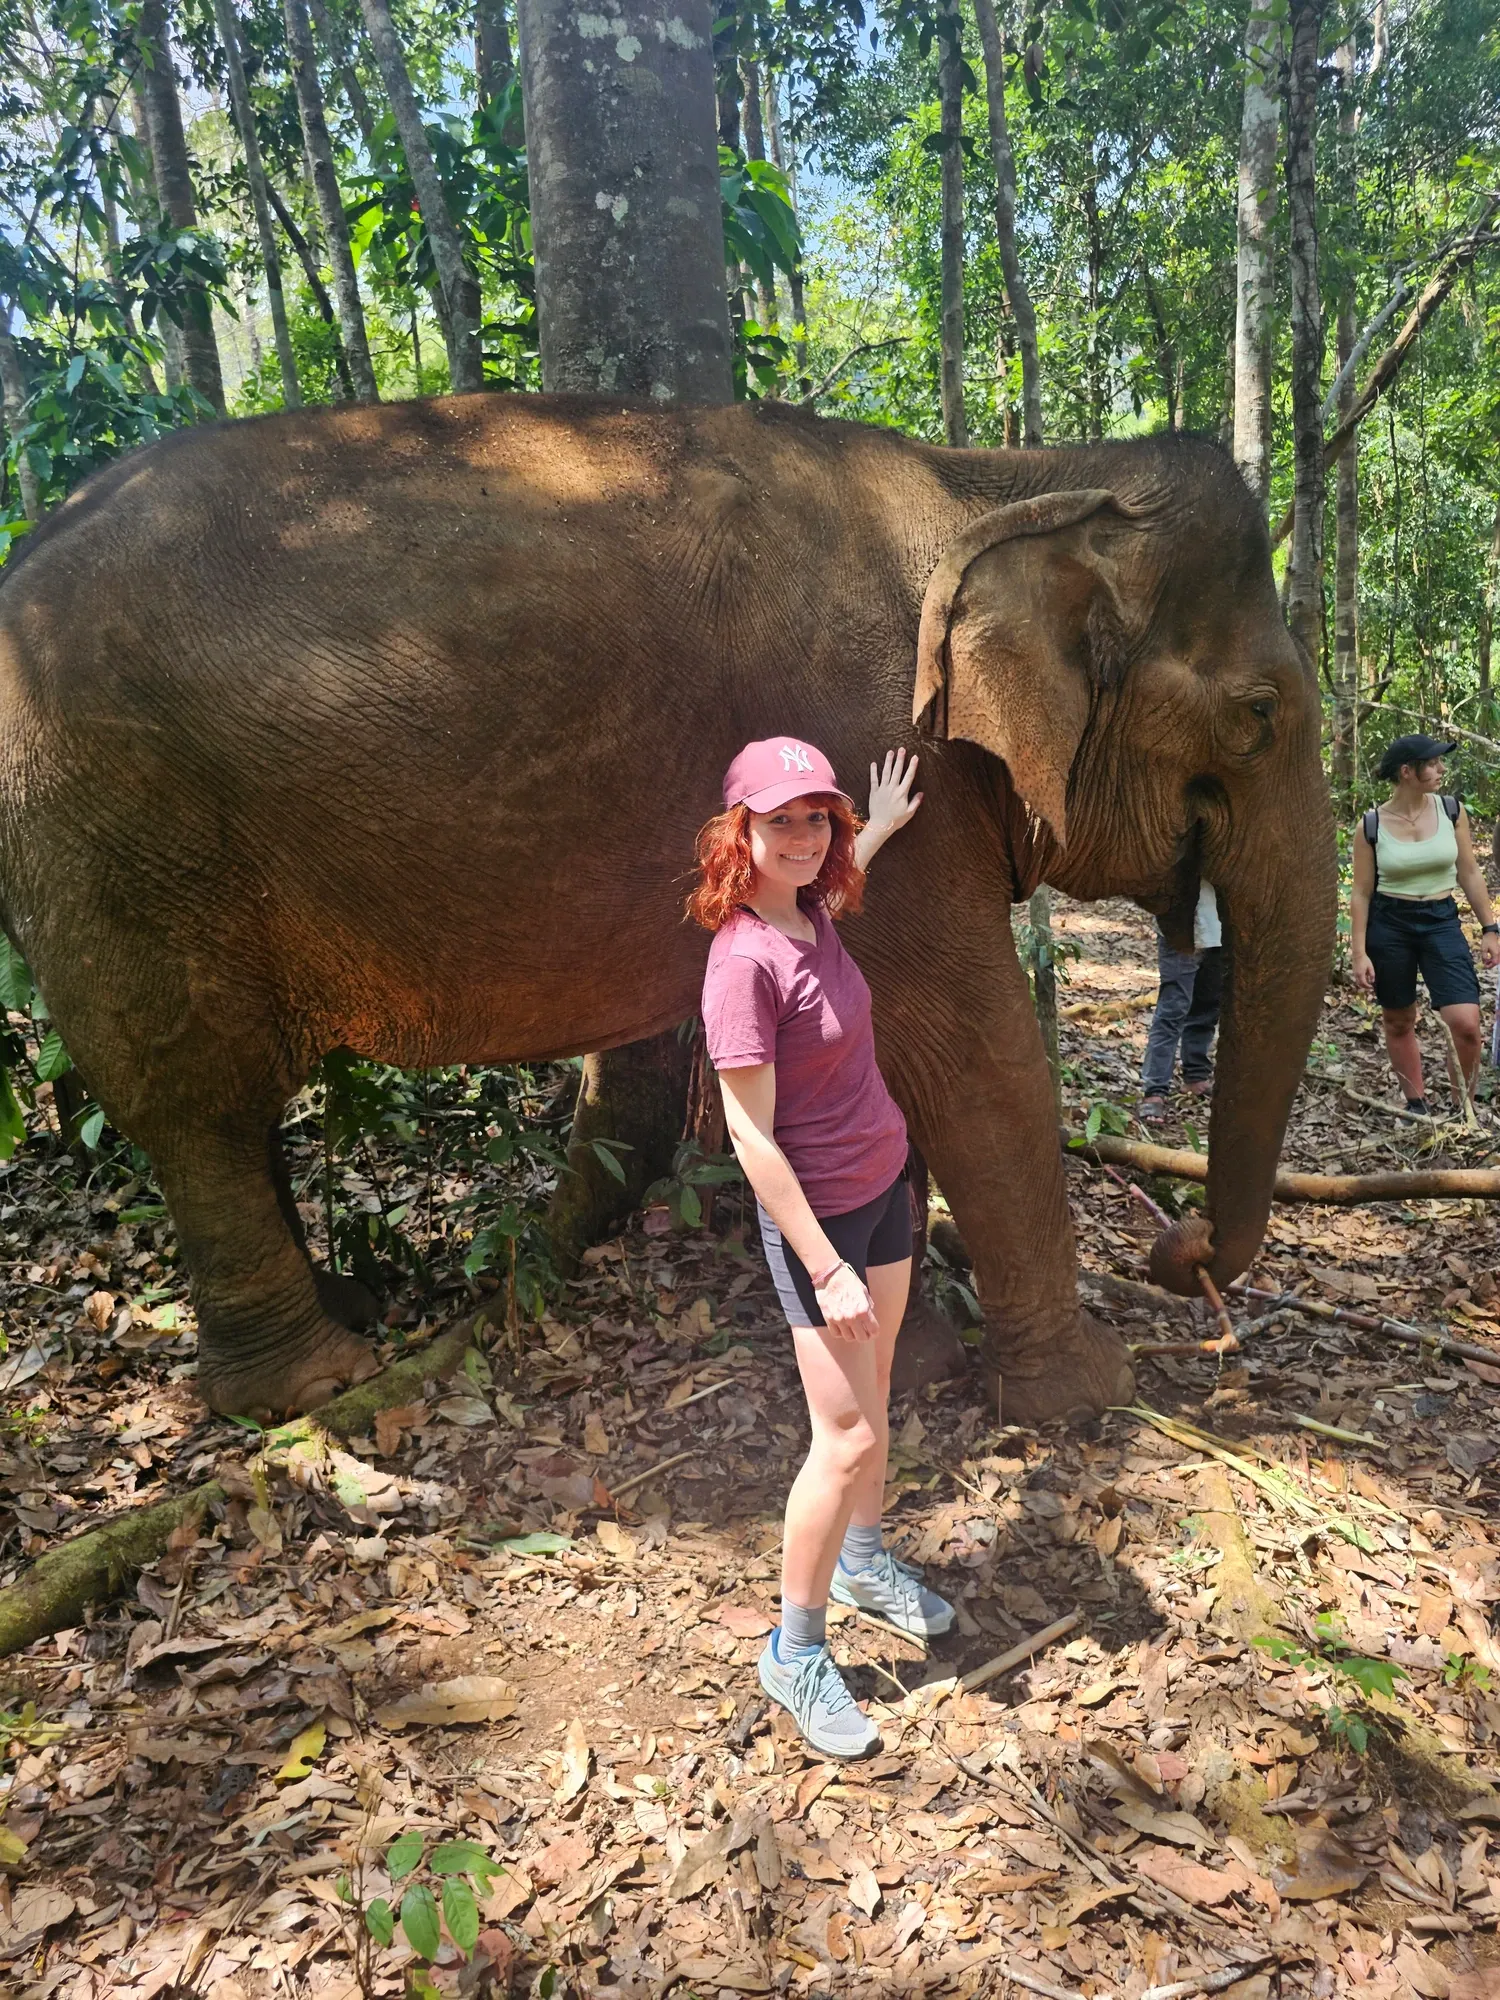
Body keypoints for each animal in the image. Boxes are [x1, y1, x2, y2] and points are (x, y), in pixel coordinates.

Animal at [0, 394, 1336, 1423]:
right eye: (1263, 713)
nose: (1181, 1253)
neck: (1001, 479)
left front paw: (913, 1344)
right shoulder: (871, 737)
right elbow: (969, 1048)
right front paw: (1087, 1395)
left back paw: (350, 1309)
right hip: (113, 834)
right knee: (193, 1098)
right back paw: (310, 1382)